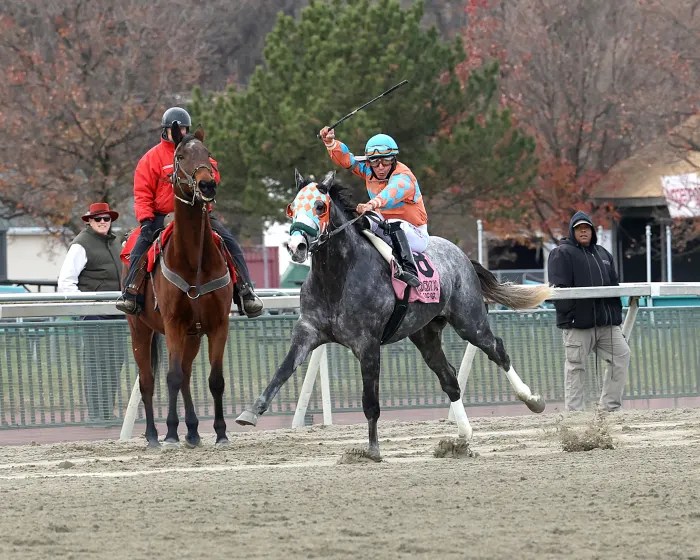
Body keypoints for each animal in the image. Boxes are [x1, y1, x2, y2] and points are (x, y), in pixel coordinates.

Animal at [123, 126, 234, 448]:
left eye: (208, 153)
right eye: (181, 156)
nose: (207, 184)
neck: (193, 260)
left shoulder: (218, 324)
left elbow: (215, 380)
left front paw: (220, 432)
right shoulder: (172, 324)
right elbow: (170, 377)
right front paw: (171, 432)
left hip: (192, 335)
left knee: (185, 375)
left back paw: (194, 431)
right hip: (140, 329)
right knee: (148, 380)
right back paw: (153, 435)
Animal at [236, 170, 552, 460]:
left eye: (320, 206)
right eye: (291, 207)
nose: (296, 246)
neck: (337, 276)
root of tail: (463, 256)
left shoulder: (367, 343)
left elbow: (370, 401)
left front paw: (373, 449)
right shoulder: (308, 331)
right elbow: (282, 370)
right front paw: (251, 412)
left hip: (469, 320)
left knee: (497, 349)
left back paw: (531, 399)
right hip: (425, 334)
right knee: (449, 376)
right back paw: (462, 437)